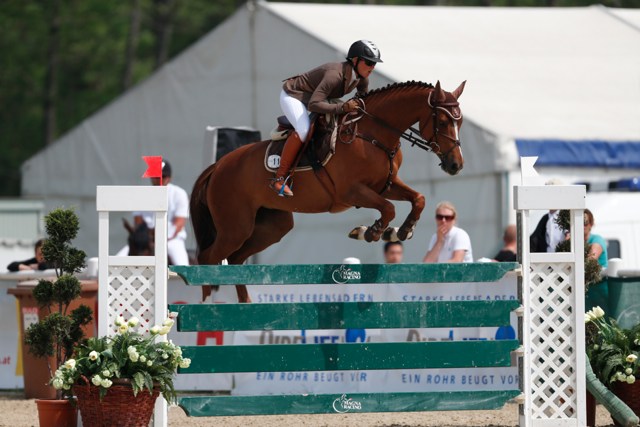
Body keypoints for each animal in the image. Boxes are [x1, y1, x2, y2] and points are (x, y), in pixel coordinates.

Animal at [190, 79, 464, 300]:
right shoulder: (351, 191)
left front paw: (402, 231)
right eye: (442, 121)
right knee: (207, 258)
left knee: (236, 259)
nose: (456, 165)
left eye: (459, 122)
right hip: (235, 226)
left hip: (271, 226)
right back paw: (208, 308)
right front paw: (370, 232)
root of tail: (217, 166)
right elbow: (388, 209)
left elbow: (418, 199)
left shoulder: (385, 185)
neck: (372, 134)